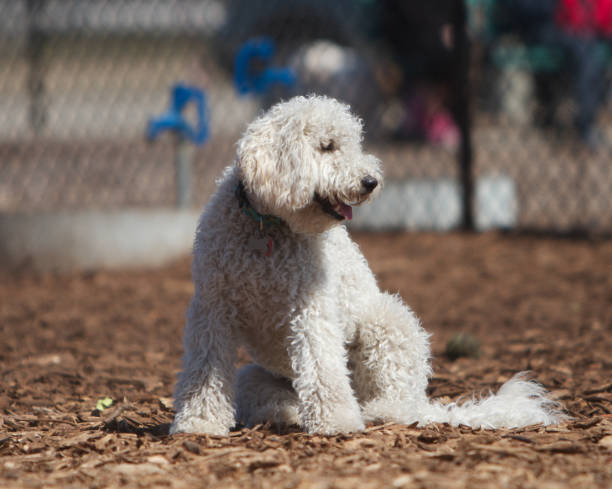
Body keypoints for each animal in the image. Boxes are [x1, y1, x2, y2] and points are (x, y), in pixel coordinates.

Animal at [170, 94, 560, 434]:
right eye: (327, 146)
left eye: (355, 144)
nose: (370, 182)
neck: (267, 225)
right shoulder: (213, 310)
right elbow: (204, 371)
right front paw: (198, 423)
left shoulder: (311, 310)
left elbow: (322, 366)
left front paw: (337, 422)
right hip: (252, 375)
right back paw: (282, 413)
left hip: (387, 324)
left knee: (397, 401)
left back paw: (376, 411)